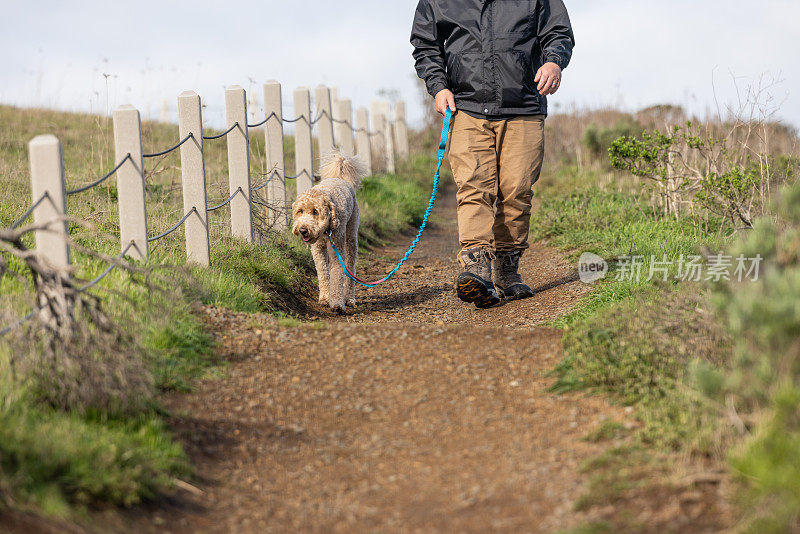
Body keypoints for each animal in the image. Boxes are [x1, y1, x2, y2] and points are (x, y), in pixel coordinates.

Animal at [290, 153, 366, 314]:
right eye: (300, 211)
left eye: (315, 212)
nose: (303, 230)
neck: (326, 232)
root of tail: (339, 177)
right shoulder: (317, 249)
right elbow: (323, 273)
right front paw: (325, 298)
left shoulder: (336, 246)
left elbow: (337, 274)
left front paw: (337, 303)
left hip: (351, 237)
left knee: (350, 268)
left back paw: (349, 299)